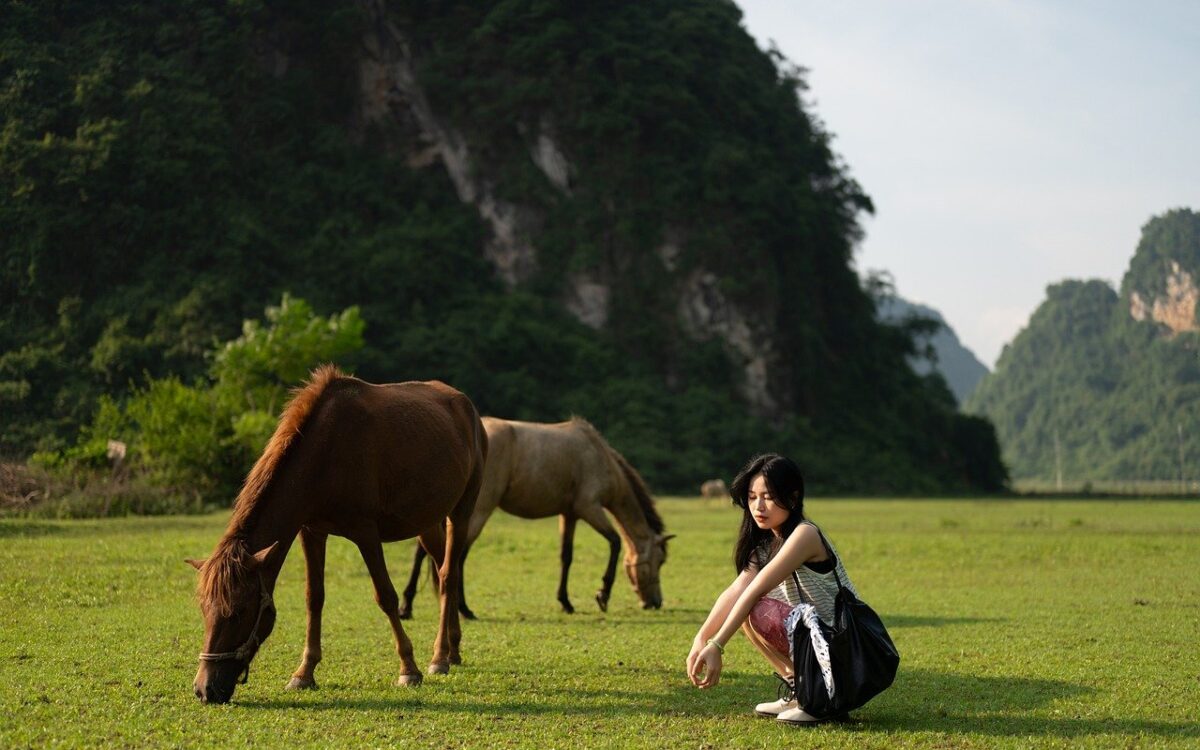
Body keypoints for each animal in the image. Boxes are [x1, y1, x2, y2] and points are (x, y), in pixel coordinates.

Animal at [187, 364, 487, 705]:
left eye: (238, 612)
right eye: (204, 610)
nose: (205, 689)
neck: (326, 451)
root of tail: (464, 404)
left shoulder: (366, 533)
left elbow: (386, 596)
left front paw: (408, 669)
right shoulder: (311, 531)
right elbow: (314, 598)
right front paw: (304, 673)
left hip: (460, 513)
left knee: (449, 575)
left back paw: (439, 657)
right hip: (426, 522)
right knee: (441, 570)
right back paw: (452, 650)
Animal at [398, 412, 672, 619]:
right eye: (659, 561)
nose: (655, 602)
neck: (597, 455)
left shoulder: (569, 515)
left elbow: (566, 557)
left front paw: (565, 602)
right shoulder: (590, 508)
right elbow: (614, 542)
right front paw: (602, 594)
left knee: (425, 551)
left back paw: (407, 606)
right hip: (477, 512)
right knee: (459, 554)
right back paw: (463, 609)